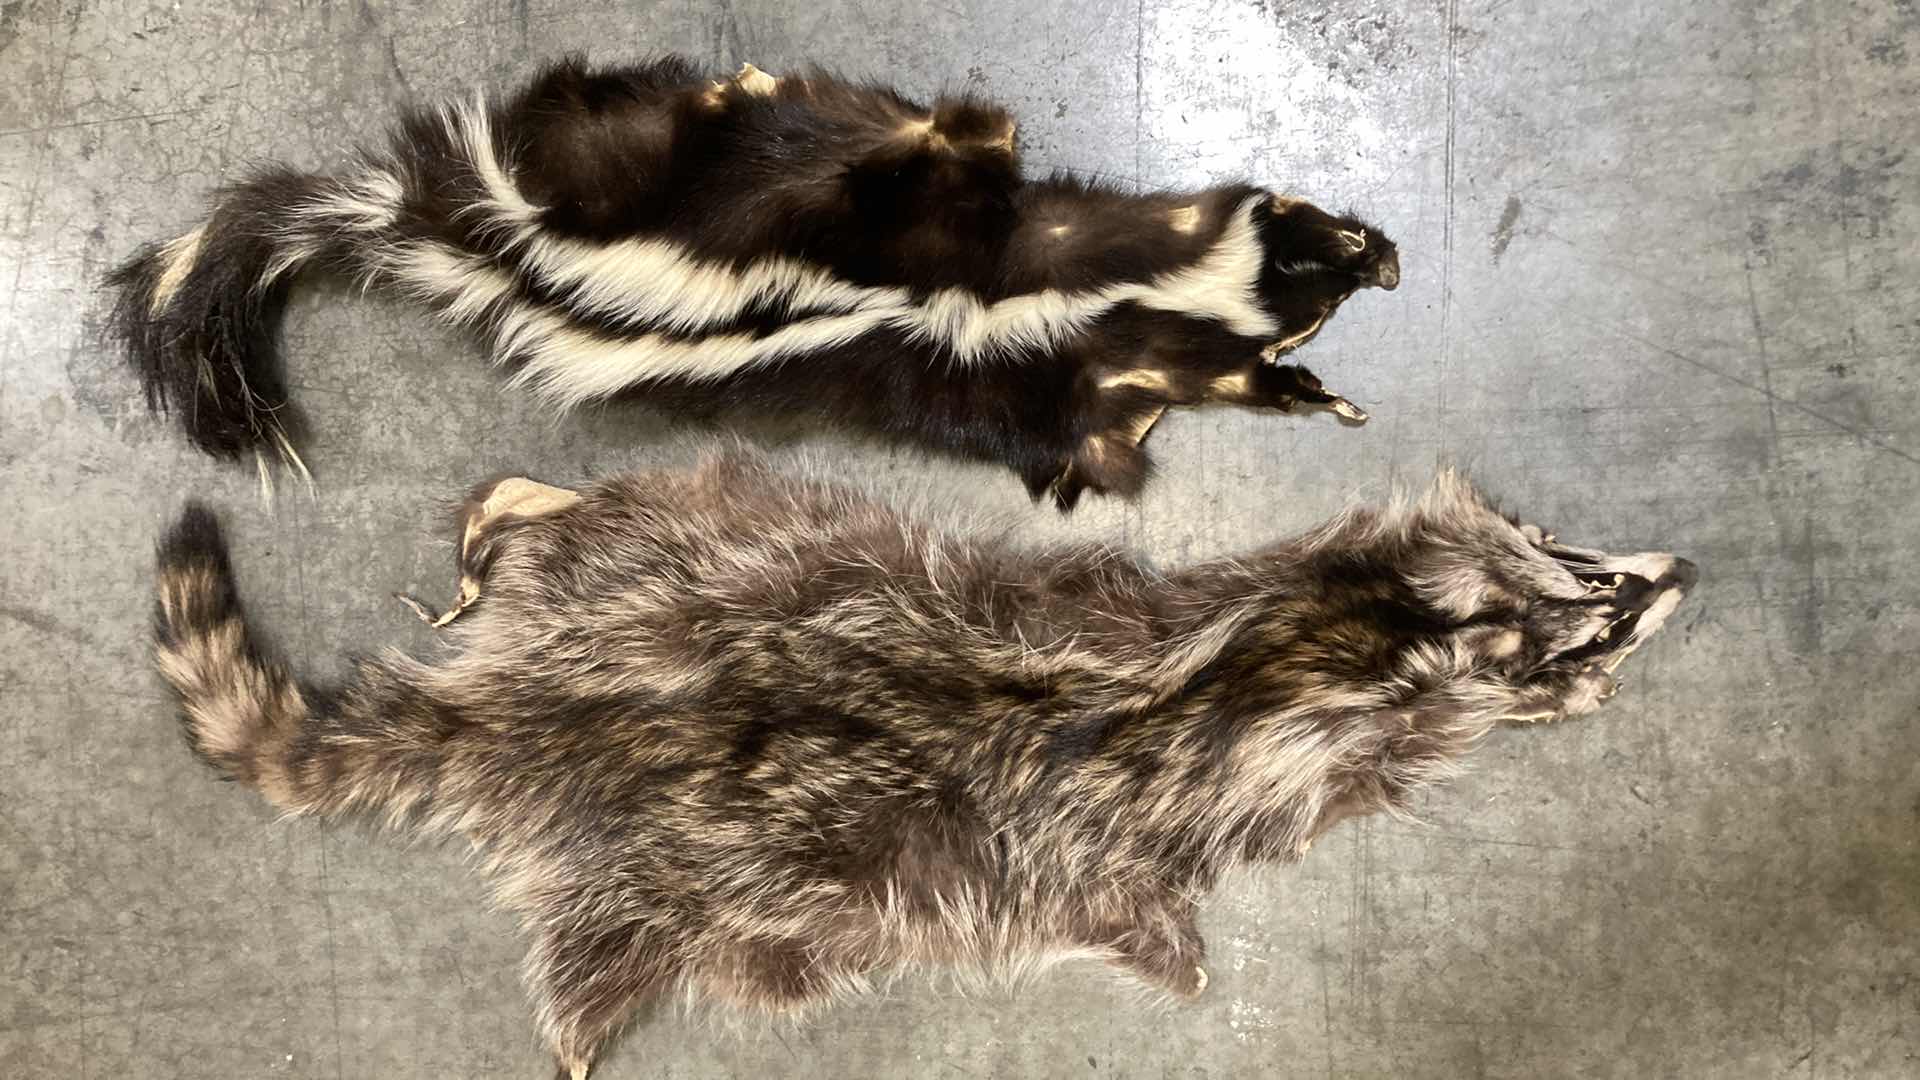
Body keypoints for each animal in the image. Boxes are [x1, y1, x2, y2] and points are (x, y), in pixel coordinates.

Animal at [109, 55, 1400, 508]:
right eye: (1316, 244)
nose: (1383, 255)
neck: (1034, 296)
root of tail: (506, 250)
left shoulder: (1051, 389)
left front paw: (1329, 401)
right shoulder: (925, 222)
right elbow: (935, 154)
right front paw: (963, 122)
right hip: (608, 158)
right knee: (610, 112)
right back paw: (735, 85)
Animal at [152, 451, 1690, 1077]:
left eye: (1577, 555)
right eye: (1597, 612)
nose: (1680, 572)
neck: (1350, 639)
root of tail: (529, 709)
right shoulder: (1178, 822)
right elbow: (1159, 939)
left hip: (674, 563)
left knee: (575, 526)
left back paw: (511, 517)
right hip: (687, 884)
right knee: (603, 982)